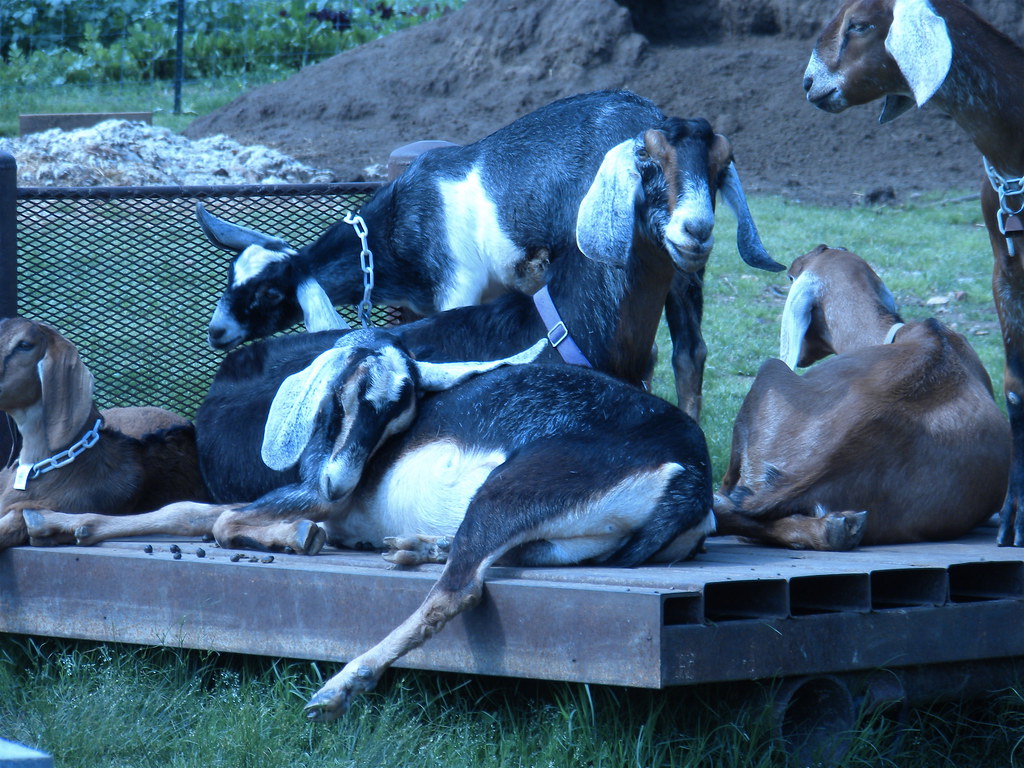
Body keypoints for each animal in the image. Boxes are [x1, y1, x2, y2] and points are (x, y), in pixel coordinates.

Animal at [197, 89, 783, 419]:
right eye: (230, 276)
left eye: (268, 293)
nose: (217, 332)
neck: (393, 233)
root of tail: (652, 110)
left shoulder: (457, 285)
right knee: (691, 350)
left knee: (676, 350)